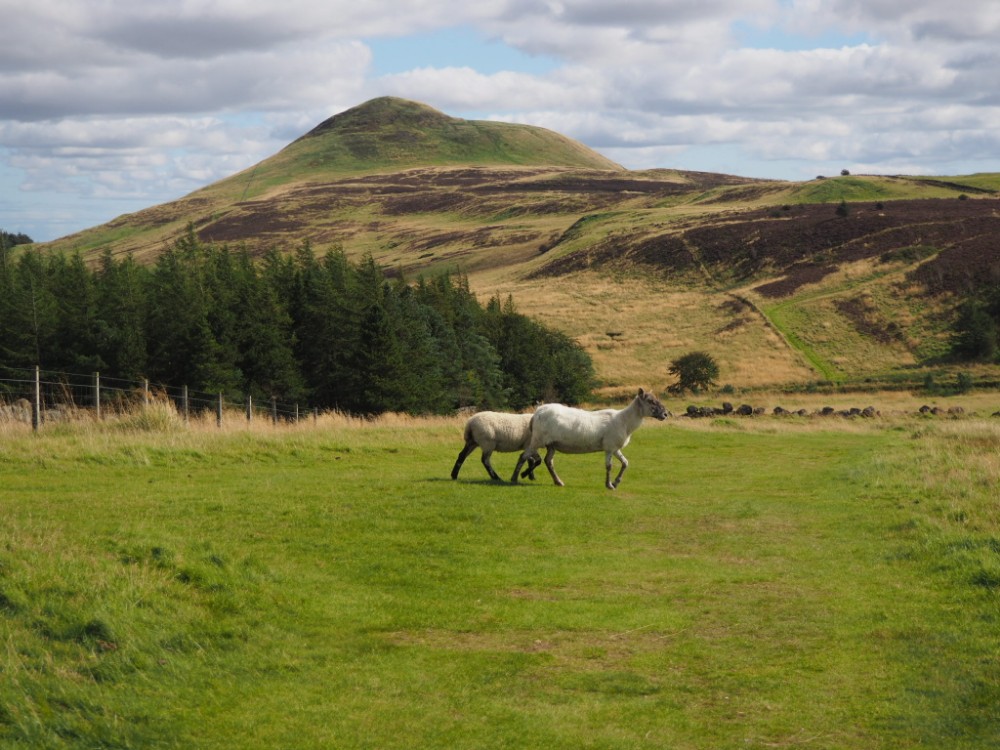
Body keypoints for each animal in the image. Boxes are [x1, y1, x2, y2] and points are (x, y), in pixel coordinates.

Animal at [510, 388, 670, 490]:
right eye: (650, 401)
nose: (665, 414)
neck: (625, 421)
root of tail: (537, 411)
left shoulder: (614, 447)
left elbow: (625, 463)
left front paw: (616, 482)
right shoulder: (609, 447)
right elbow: (609, 466)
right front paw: (609, 485)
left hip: (551, 444)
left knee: (548, 461)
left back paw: (558, 482)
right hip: (538, 439)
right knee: (523, 456)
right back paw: (515, 478)